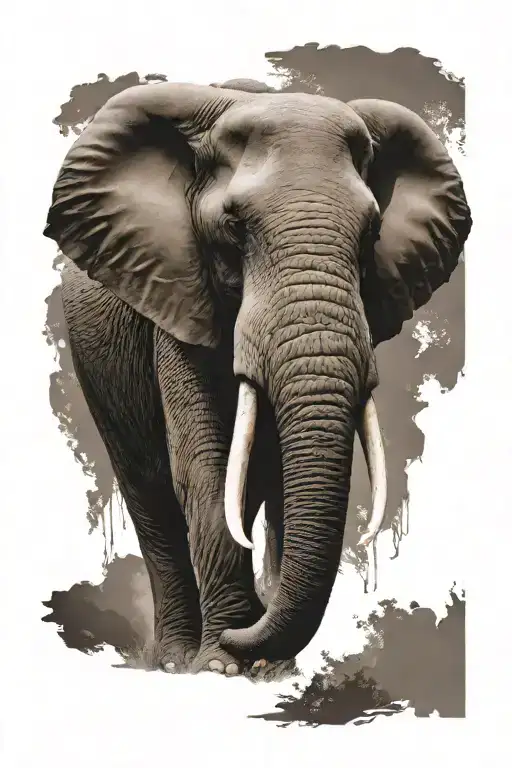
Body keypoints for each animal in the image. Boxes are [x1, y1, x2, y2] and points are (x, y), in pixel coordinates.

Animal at [43, 77, 471, 677]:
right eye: (234, 227)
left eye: (372, 232)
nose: (245, 639)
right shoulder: (177, 294)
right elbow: (204, 465)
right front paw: (221, 668)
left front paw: (265, 669)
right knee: (149, 490)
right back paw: (175, 661)